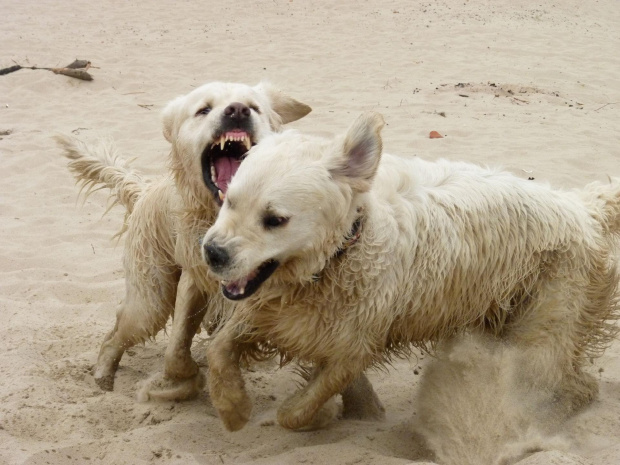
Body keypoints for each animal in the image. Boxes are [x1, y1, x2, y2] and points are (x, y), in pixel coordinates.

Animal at [205, 110, 620, 430]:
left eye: (275, 220)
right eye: (230, 200)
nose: (212, 253)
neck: (339, 254)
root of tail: (584, 206)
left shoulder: (355, 345)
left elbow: (301, 407)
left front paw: (313, 416)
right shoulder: (267, 313)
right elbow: (219, 349)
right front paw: (234, 408)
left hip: (545, 324)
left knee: (570, 384)